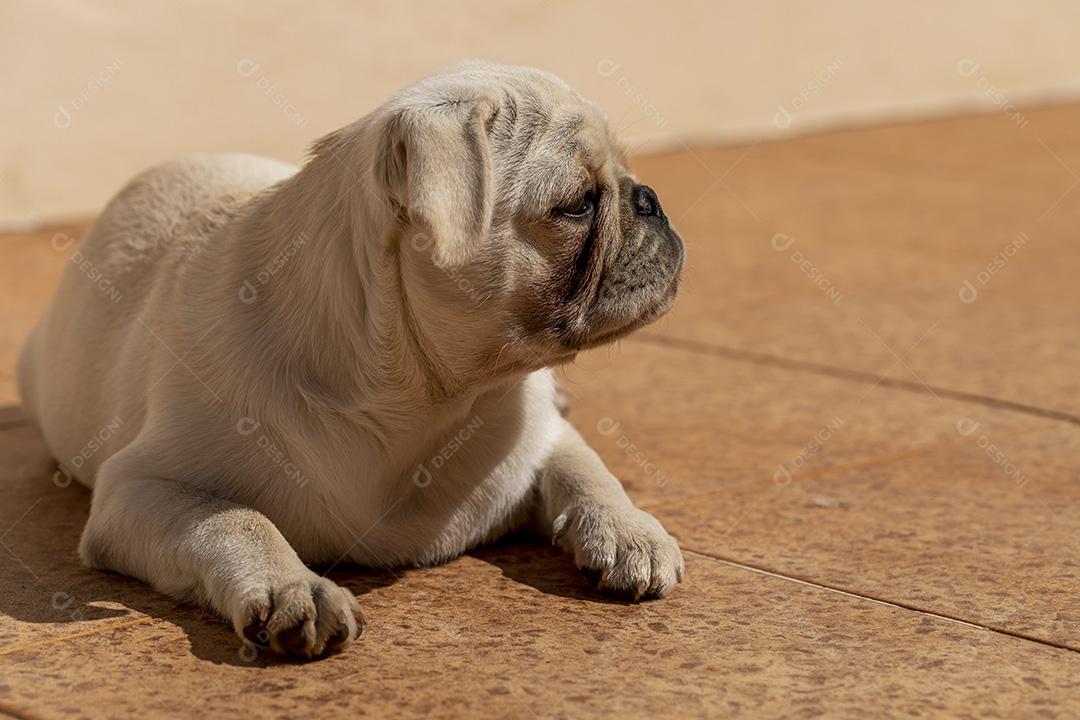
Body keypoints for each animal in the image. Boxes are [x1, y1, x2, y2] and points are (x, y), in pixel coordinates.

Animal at [16, 62, 686, 660]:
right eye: (576, 206)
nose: (651, 198)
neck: (424, 398)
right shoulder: (141, 488)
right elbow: (235, 520)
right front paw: (295, 589)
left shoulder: (539, 432)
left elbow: (587, 468)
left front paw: (629, 530)